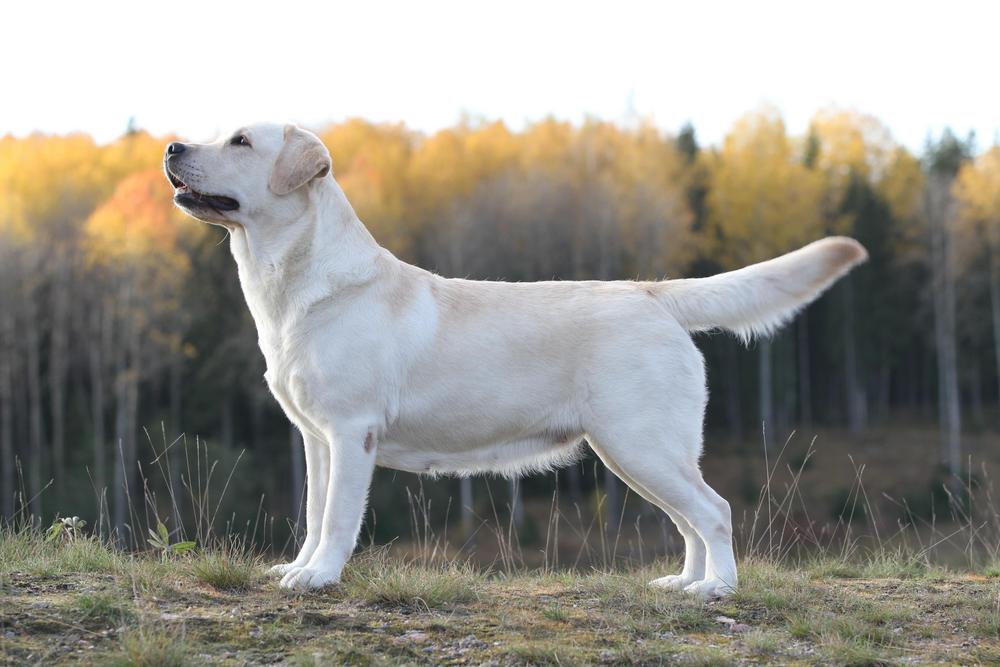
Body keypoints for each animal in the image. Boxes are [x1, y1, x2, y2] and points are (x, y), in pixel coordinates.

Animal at [164, 123, 866, 596]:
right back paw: (683, 584)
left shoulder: (351, 431)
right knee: (691, 519)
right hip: (640, 451)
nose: (171, 146)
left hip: (640, 444)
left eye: (240, 141)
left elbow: (337, 517)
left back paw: (718, 589)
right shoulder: (314, 437)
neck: (294, 284)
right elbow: (312, 514)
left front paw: (321, 578)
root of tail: (650, 291)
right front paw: (298, 568)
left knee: (713, 512)